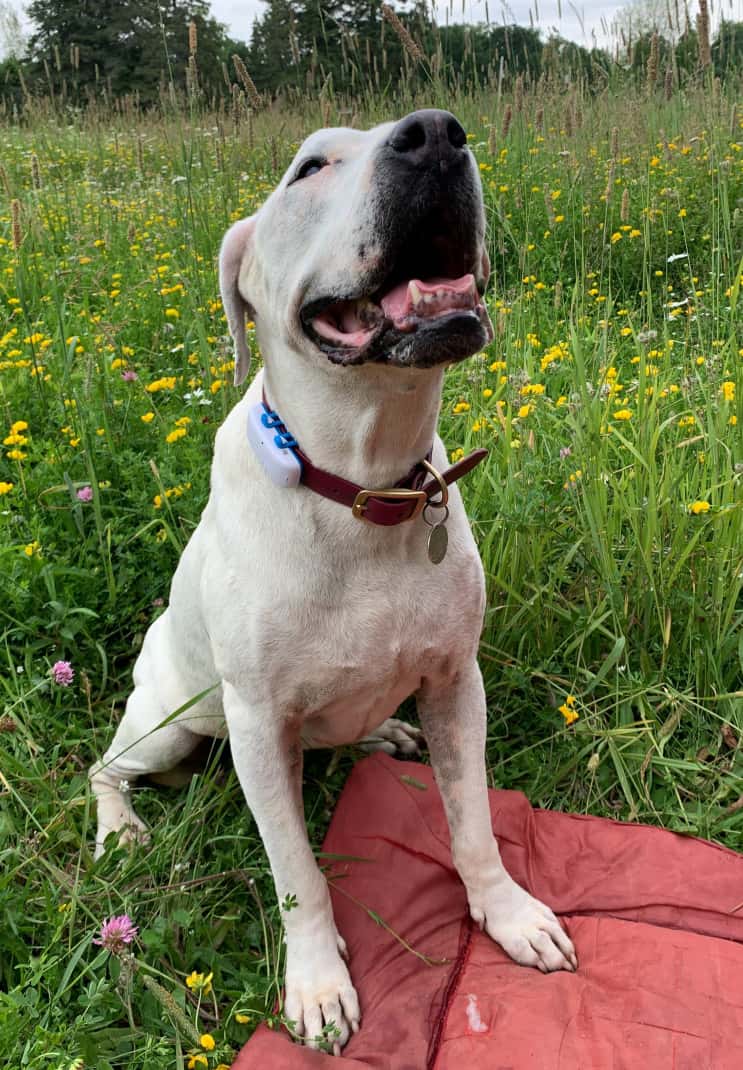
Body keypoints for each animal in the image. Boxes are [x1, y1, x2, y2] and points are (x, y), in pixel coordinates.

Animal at [90, 106, 578, 1052]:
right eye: (310, 167)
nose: (435, 134)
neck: (365, 486)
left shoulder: (456, 681)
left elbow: (473, 826)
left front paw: (507, 915)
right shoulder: (256, 724)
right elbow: (296, 874)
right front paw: (317, 985)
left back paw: (378, 733)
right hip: (165, 725)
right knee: (103, 767)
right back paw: (122, 828)